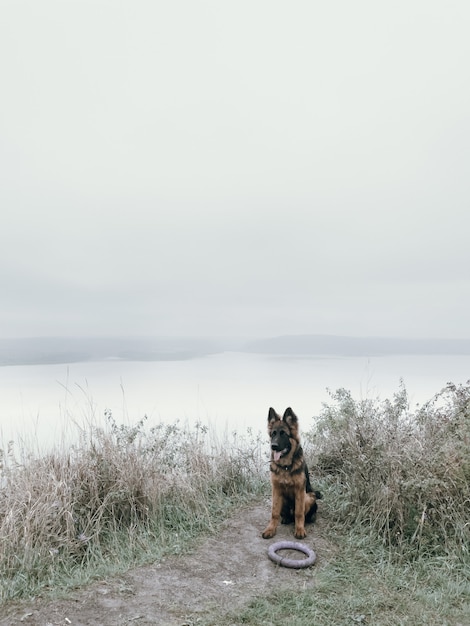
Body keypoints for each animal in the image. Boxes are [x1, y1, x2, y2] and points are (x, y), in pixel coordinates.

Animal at [262, 408, 322, 540]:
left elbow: (299, 513)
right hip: (282, 498)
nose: (273, 446)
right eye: (273, 434)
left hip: (308, 496)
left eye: (283, 433)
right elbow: (274, 513)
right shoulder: (276, 489)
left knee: (302, 513)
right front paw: (270, 529)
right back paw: (286, 518)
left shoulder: (300, 490)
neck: (285, 467)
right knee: (286, 514)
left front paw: (299, 529)